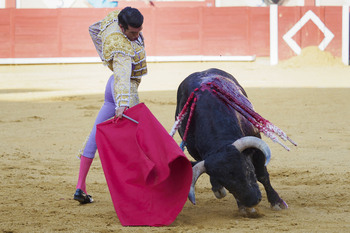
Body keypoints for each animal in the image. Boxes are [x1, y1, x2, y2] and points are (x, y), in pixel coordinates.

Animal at [174, 68, 294, 215]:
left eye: (248, 169)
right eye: (226, 183)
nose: (252, 201)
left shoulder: (256, 144)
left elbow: (262, 175)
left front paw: (277, 202)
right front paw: (243, 207)